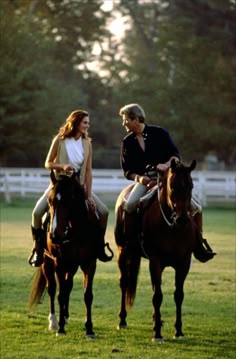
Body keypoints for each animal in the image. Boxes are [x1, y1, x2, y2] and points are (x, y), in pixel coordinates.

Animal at [28, 172, 97, 338]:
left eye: (68, 200)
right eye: (50, 201)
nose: (54, 235)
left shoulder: (89, 263)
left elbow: (87, 295)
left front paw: (89, 329)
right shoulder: (59, 263)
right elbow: (59, 294)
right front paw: (60, 329)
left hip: (71, 266)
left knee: (68, 286)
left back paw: (64, 317)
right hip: (47, 262)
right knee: (53, 289)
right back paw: (54, 321)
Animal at [114, 159, 199, 342]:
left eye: (191, 185)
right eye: (172, 186)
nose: (182, 219)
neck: (172, 228)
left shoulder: (184, 262)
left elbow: (178, 295)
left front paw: (178, 330)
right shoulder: (155, 262)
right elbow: (157, 296)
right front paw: (157, 334)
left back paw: (156, 320)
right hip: (122, 253)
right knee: (124, 283)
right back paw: (122, 320)